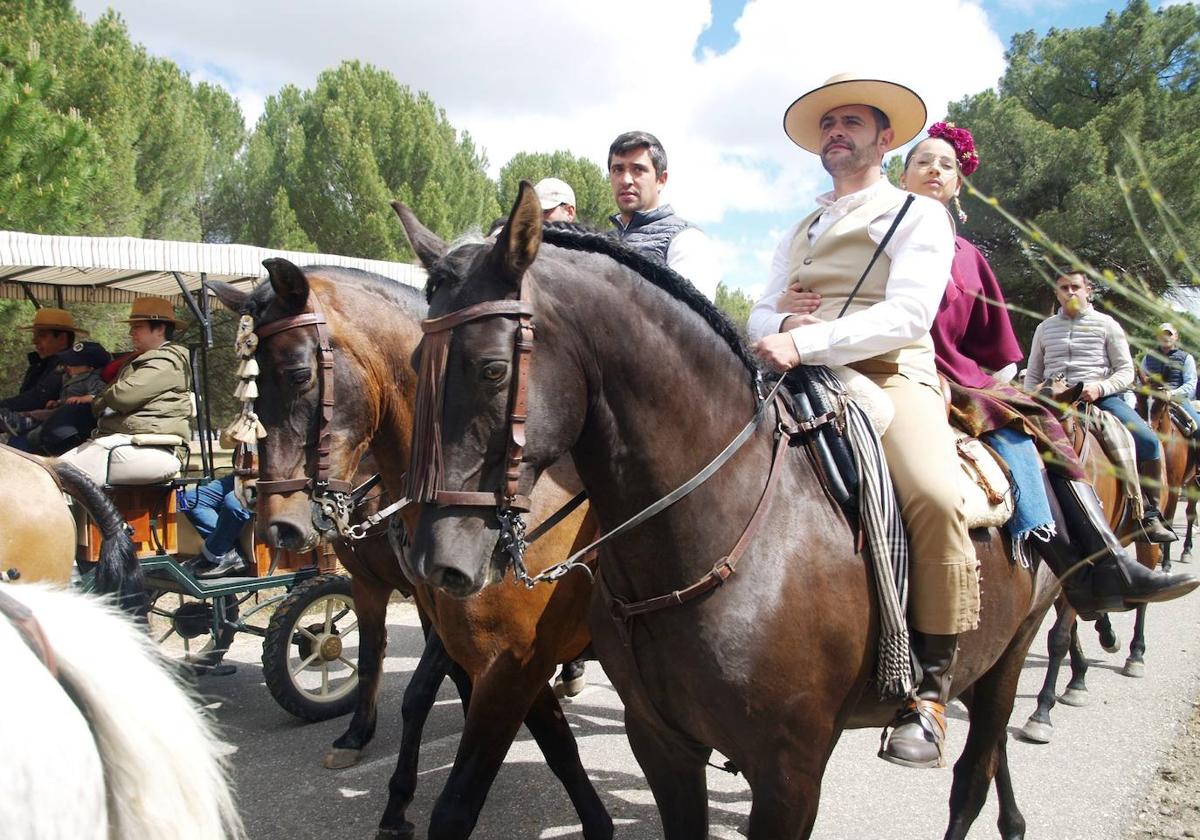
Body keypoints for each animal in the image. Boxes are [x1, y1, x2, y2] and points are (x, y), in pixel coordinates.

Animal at [207, 264, 614, 840]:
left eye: (299, 375)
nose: (278, 527)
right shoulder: (406, 601)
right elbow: (383, 663)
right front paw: (372, 758)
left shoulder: (512, 655)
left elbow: (425, 695)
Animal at [396, 187, 1060, 840]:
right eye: (415, 363)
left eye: (492, 368)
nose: (435, 562)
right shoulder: (661, 744)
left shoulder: (789, 773)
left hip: (1011, 653)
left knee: (974, 774)